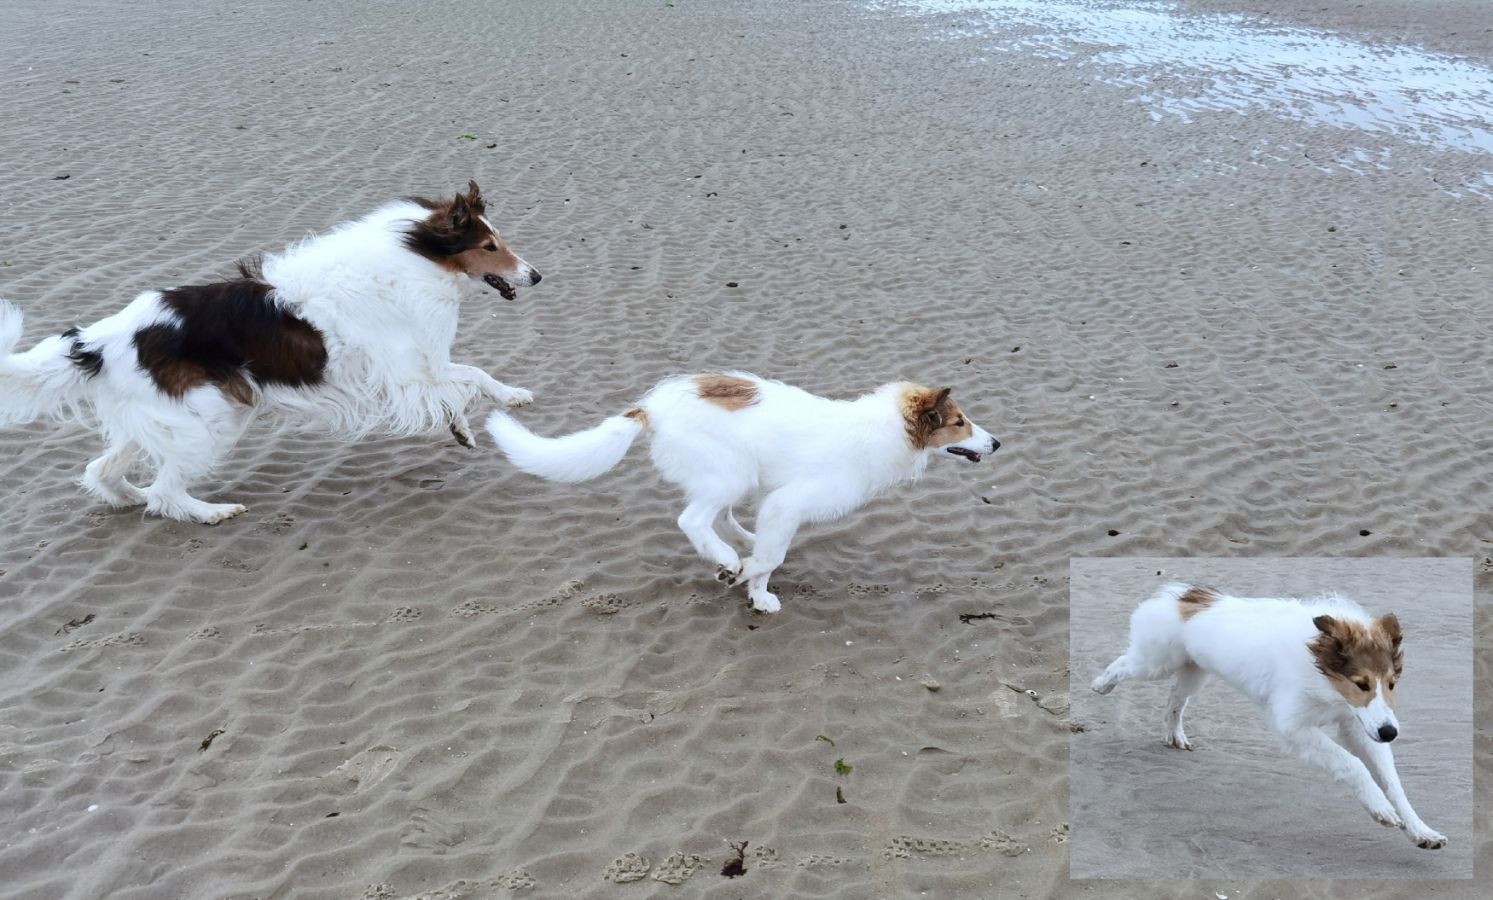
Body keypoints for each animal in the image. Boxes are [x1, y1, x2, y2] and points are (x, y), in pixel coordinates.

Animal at [0, 181, 539, 524]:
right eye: (489, 245)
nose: (536, 276)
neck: (413, 258)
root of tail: (102, 338)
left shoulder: (419, 363)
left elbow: (468, 379)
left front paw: (486, 414)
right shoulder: (404, 369)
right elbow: (464, 379)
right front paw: (482, 412)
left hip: (165, 418)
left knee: (103, 471)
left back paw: (131, 497)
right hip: (212, 418)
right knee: (165, 492)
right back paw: (209, 513)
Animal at [485, 373, 1000, 613]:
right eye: (959, 422)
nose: (996, 443)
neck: (886, 430)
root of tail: (653, 408)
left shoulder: (778, 506)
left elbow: (771, 553)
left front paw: (755, 590)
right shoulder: (788, 502)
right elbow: (772, 557)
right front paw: (746, 579)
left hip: (738, 476)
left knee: (720, 517)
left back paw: (736, 546)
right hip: (729, 473)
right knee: (692, 519)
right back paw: (728, 557)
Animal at [1091, 582, 1447, 849]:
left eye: (1391, 684)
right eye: (1361, 684)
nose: (1391, 734)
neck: (1325, 679)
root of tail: (1183, 595)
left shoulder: (1360, 725)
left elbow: (1392, 782)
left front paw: (1420, 830)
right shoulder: (1293, 726)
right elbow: (1353, 765)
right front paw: (1380, 809)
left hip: (1194, 671)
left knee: (1175, 700)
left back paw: (1174, 734)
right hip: (1155, 663)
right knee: (1122, 665)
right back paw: (1100, 685)